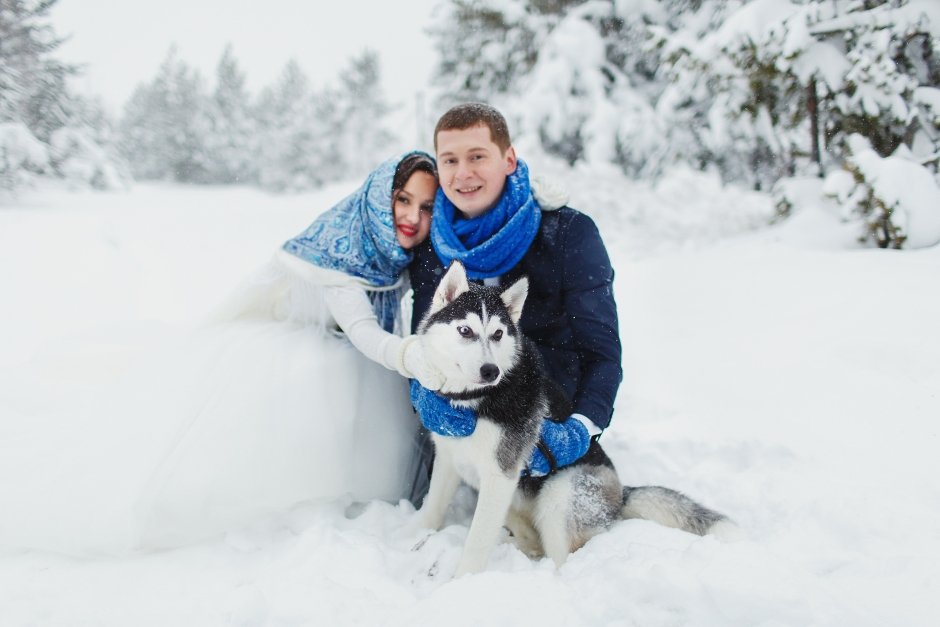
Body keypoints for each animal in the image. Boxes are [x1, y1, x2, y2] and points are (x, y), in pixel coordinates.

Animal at [414, 262, 736, 580]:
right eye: (465, 330)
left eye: (497, 334)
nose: (490, 370)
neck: (472, 400)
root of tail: (621, 495)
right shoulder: (449, 461)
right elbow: (433, 509)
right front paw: (414, 538)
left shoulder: (500, 475)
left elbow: (477, 542)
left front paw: (462, 581)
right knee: (533, 542)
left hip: (558, 498)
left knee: (561, 558)